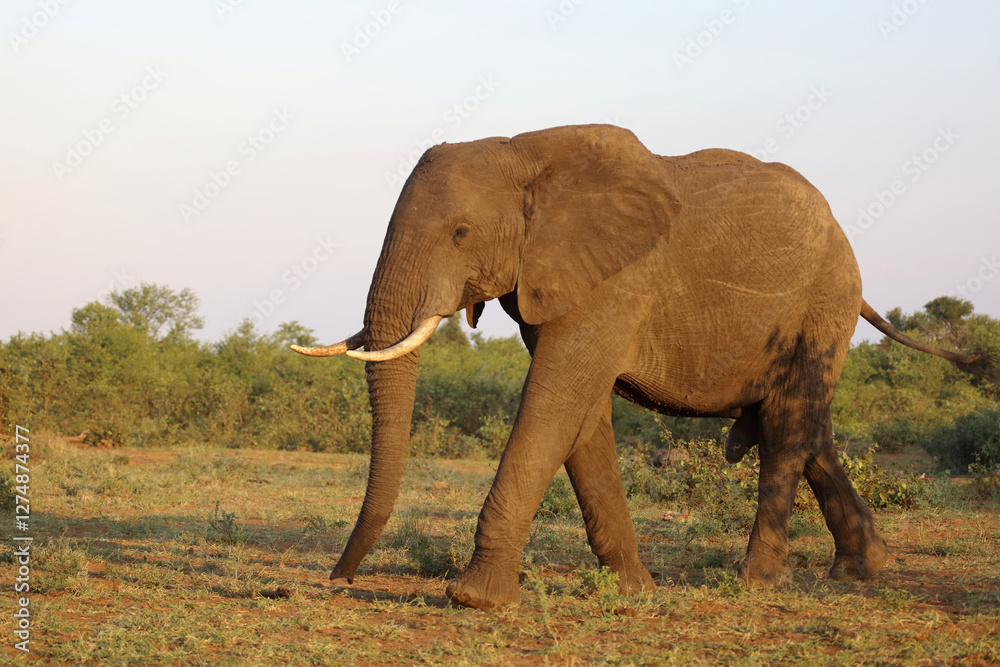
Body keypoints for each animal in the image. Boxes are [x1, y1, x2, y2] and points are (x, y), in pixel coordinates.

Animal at [292, 124, 988, 609]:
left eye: (461, 233)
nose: (337, 582)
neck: (525, 150)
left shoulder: (616, 279)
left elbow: (555, 401)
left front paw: (476, 601)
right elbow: (581, 414)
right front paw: (636, 590)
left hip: (825, 300)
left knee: (791, 424)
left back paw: (759, 582)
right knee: (802, 424)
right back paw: (860, 570)